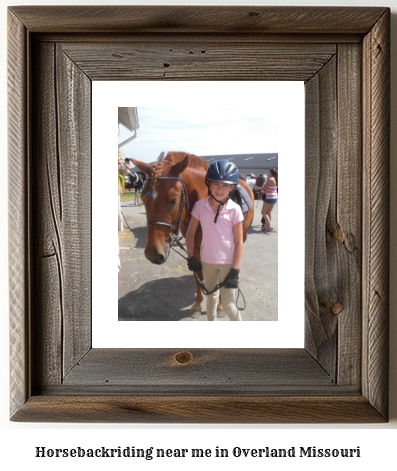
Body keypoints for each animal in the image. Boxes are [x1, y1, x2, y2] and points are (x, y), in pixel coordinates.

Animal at [130, 151, 254, 318]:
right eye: (143, 197)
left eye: (173, 200)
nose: (153, 254)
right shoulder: (193, 246)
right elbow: (198, 273)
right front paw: (197, 304)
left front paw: (220, 306)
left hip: (243, 235)